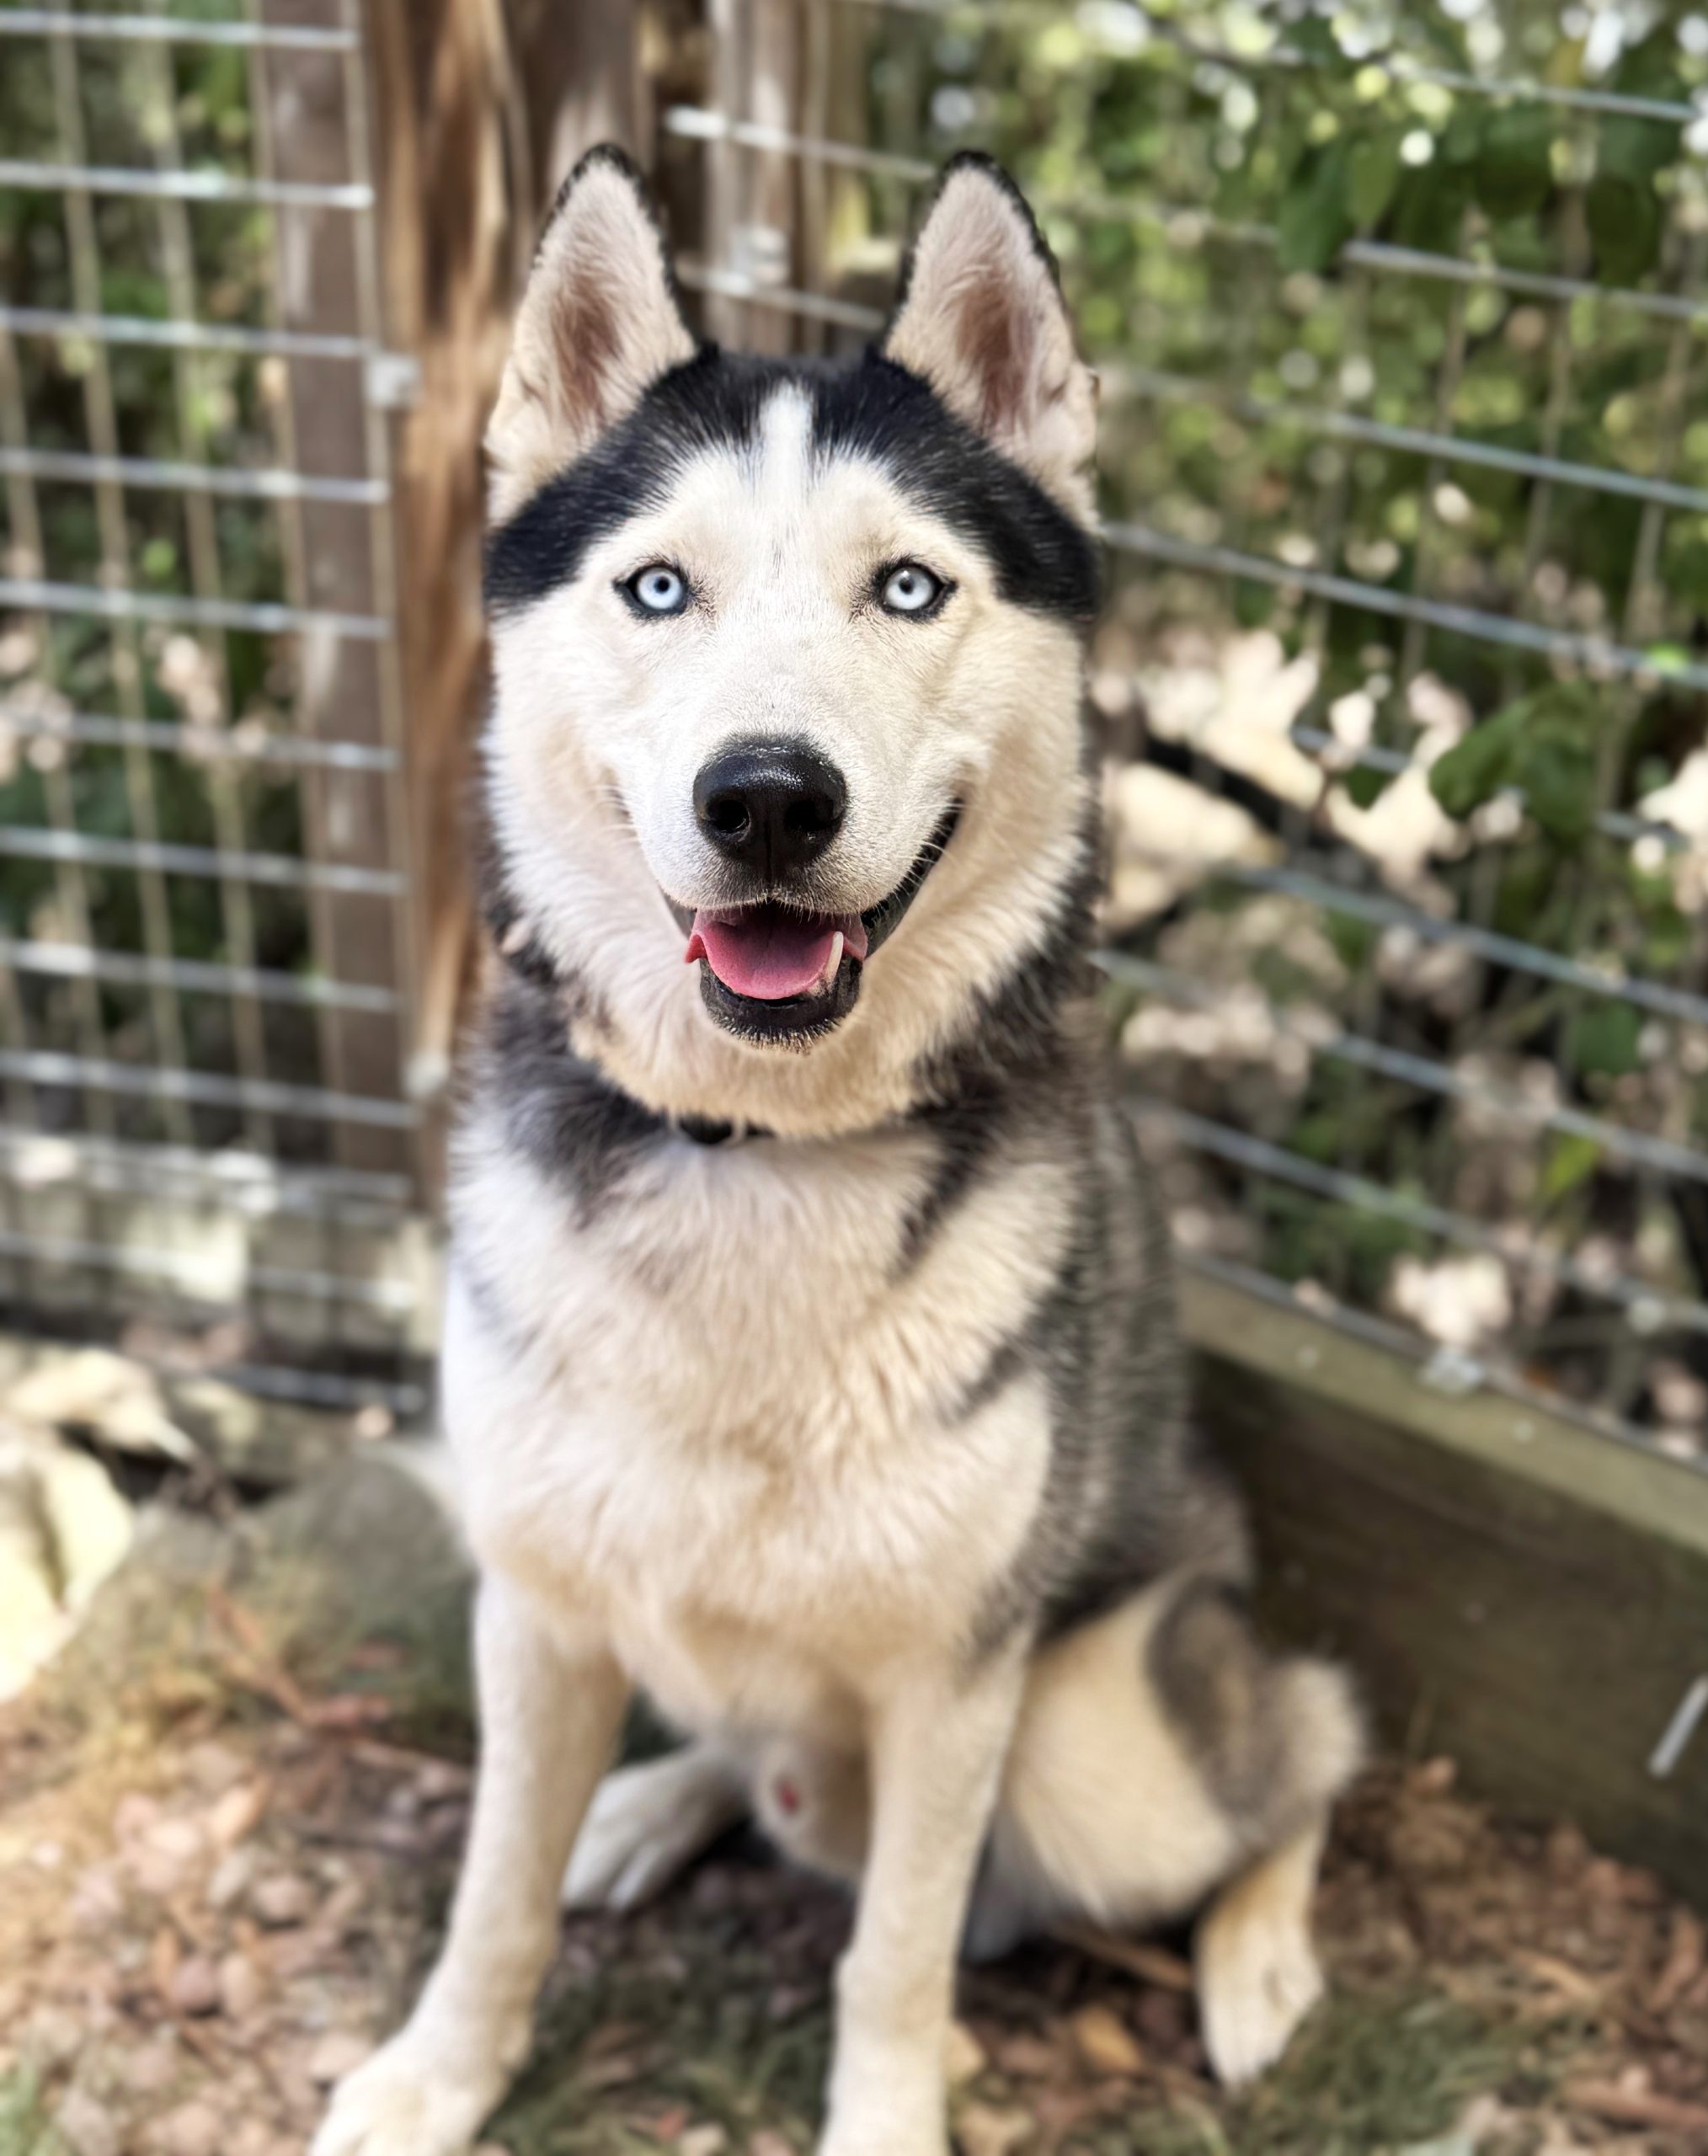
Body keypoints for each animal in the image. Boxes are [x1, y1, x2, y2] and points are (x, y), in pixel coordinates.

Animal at [317, 147, 1363, 2156]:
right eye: (659, 586)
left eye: (908, 585)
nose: (767, 796)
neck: (754, 1153)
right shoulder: (536, 1608)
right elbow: (492, 1887)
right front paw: (435, 2076)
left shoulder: (956, 1686)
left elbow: (895, 1955)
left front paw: (893, 2107)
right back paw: (654, 1804)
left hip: (1098, 1746)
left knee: (1304, 1744)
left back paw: (1265, 1954)